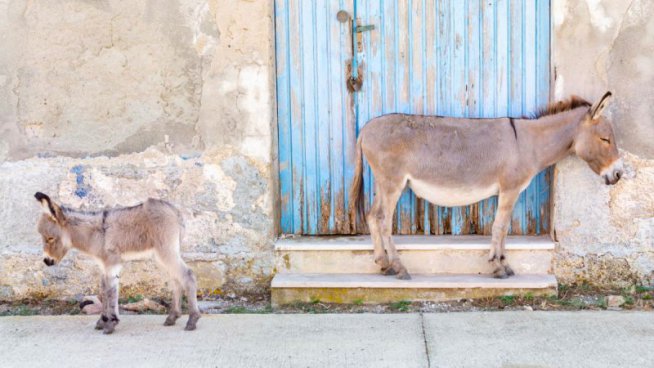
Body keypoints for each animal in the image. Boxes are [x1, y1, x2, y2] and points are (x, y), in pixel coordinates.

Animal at [34, 194, 199, 334]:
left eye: (50, 238)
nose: (47, 261)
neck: (96, 235)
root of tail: (175, 211)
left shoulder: (111, 265)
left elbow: (110, 293)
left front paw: (110, 324)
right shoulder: (103, 267)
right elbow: (104, 292)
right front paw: (102, 321)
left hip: (166, 251)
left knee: (188, 276)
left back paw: (192, 320)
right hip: (161, 256)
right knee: (176, 280)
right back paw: (172, 317)